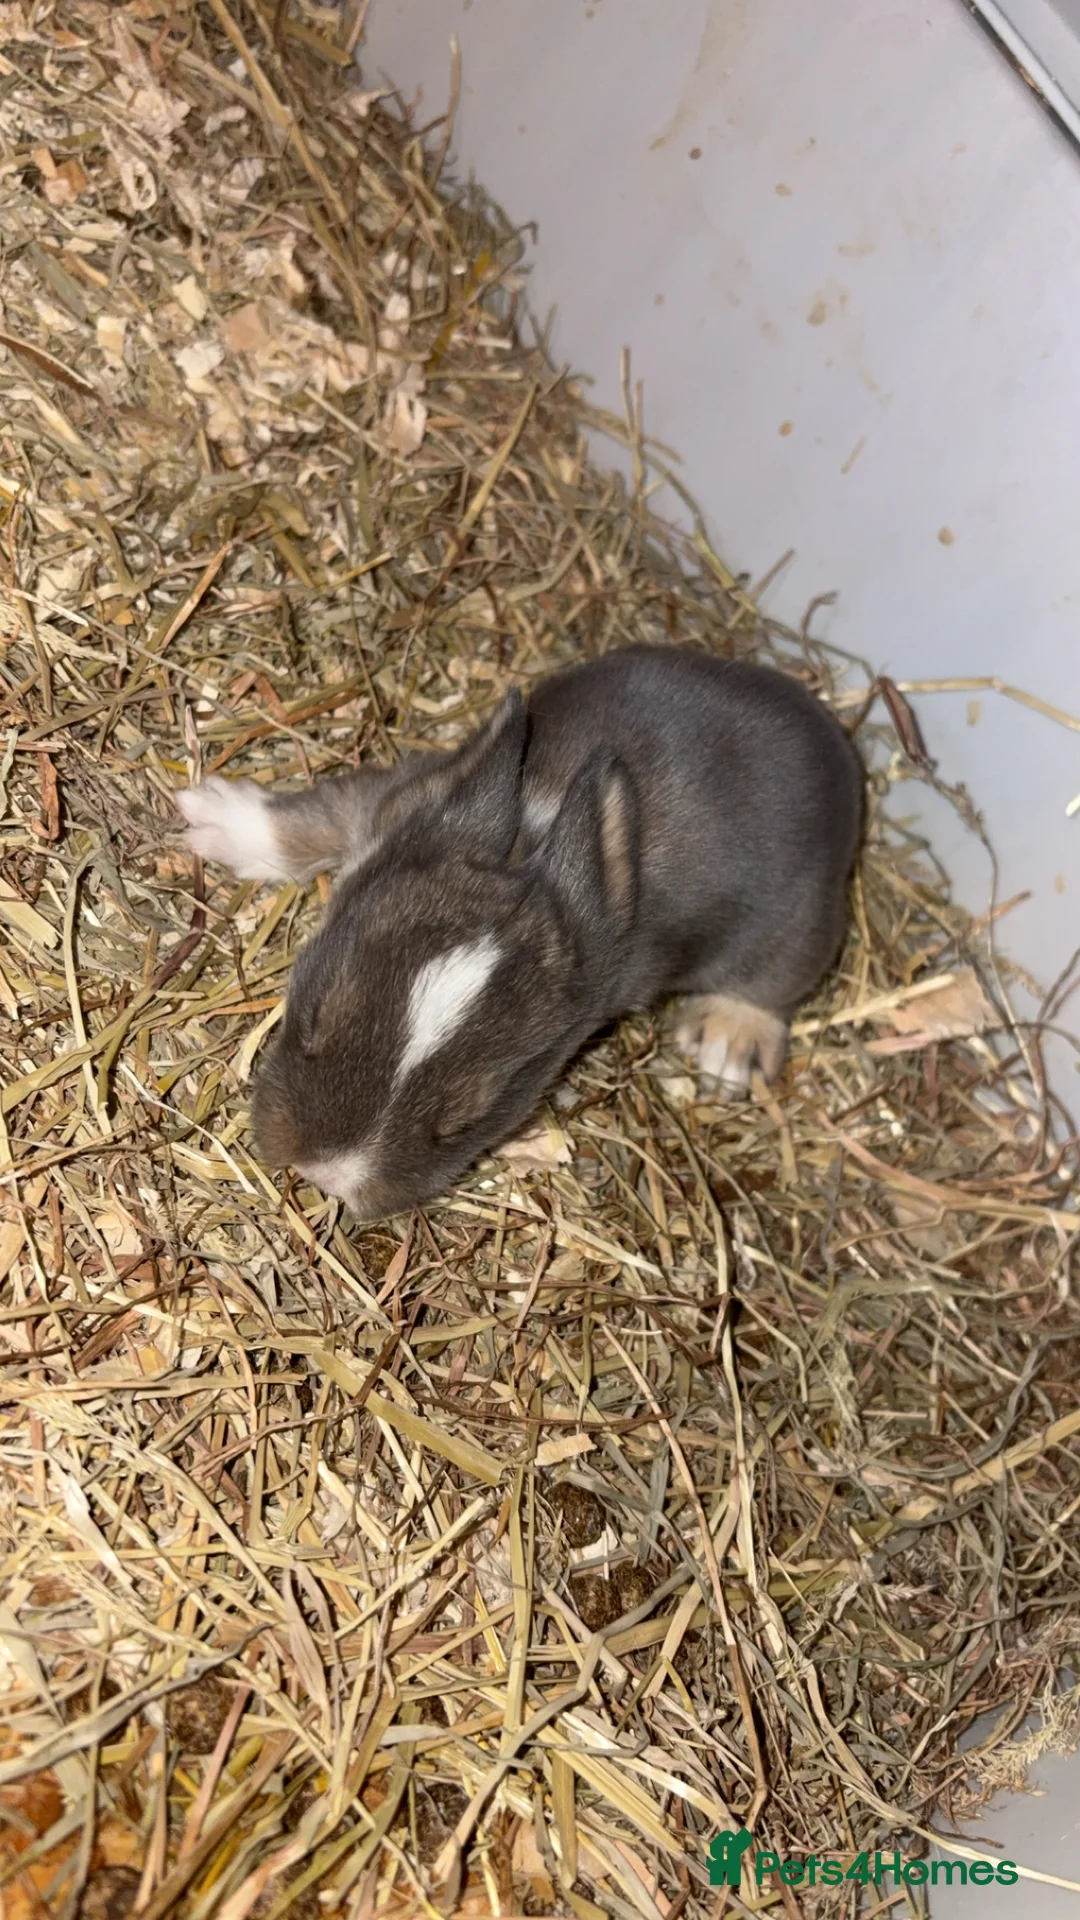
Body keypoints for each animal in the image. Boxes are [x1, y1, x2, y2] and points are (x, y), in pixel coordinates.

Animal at [177, 644, 862, 1221]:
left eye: (467, 1119)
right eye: (314, 1015)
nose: (325, 1176)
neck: (534, 843)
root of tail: (833, 744)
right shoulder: (399, 796)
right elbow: (322, 817)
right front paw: (213, 821)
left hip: (797, 926)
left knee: (774, 984)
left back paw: (728, 1041)